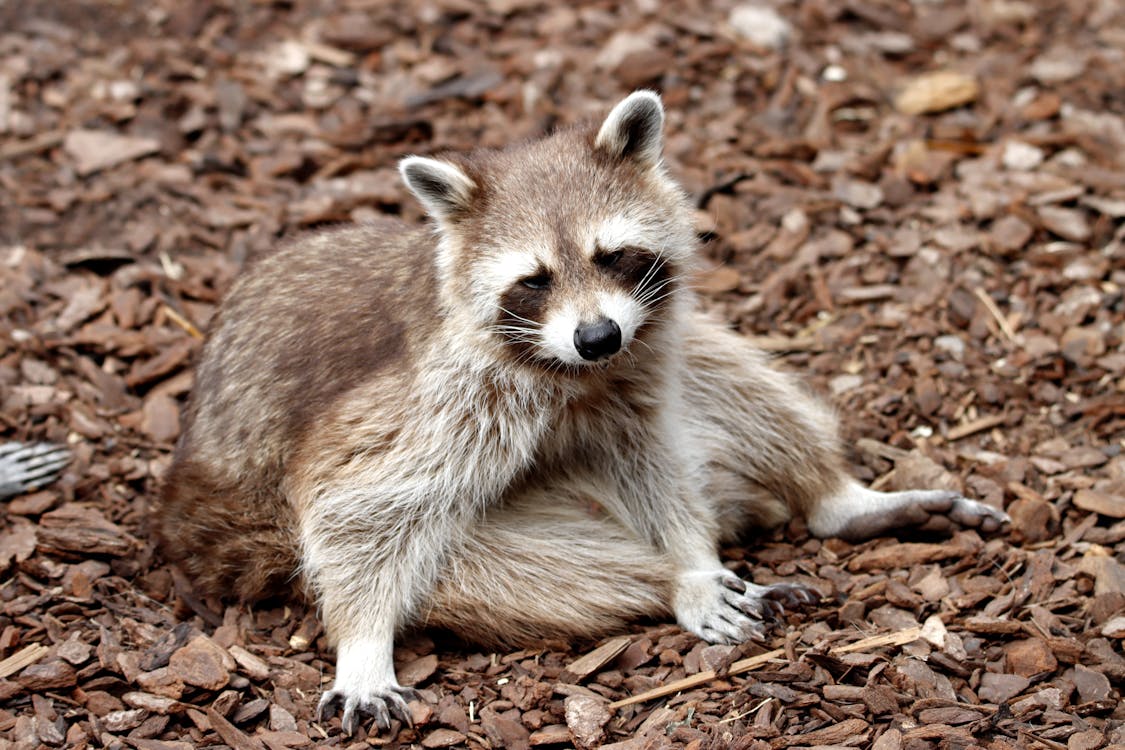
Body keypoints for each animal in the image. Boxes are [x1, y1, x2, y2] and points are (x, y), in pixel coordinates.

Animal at [156, 92, 1003, 733]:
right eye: (533, 279)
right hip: (269, 534)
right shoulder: (431, 396)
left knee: (726, 377)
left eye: (610, 256)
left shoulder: (629, 371)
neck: (565, 369)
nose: (597, 336)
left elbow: (651, 455)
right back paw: (658, 580)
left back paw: (833, 500)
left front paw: (693, 560)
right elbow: (354, 504)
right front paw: (362, 646)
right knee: (524, 572)